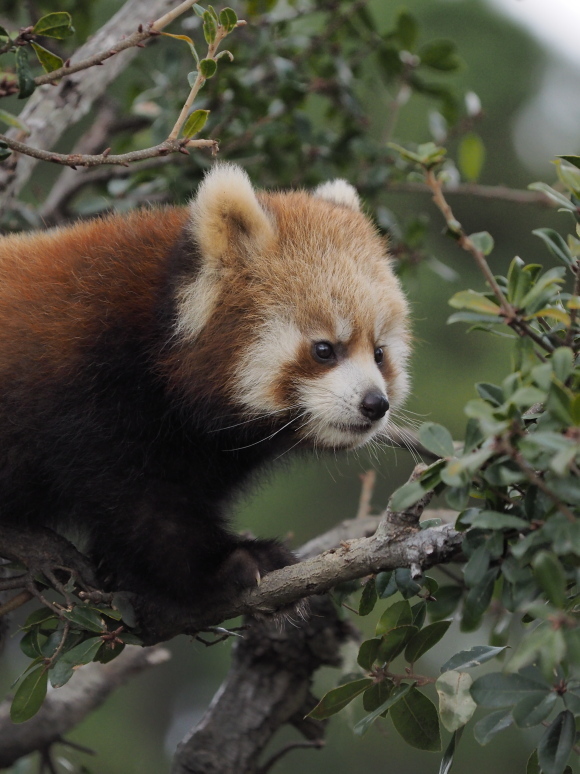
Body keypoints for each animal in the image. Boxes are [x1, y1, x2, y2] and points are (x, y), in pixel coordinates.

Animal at [0, 167, 410, 628]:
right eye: (324, 349)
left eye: (379, 354)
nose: (375, 404)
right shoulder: (94, 398)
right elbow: (143, 508)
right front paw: (229, 564)